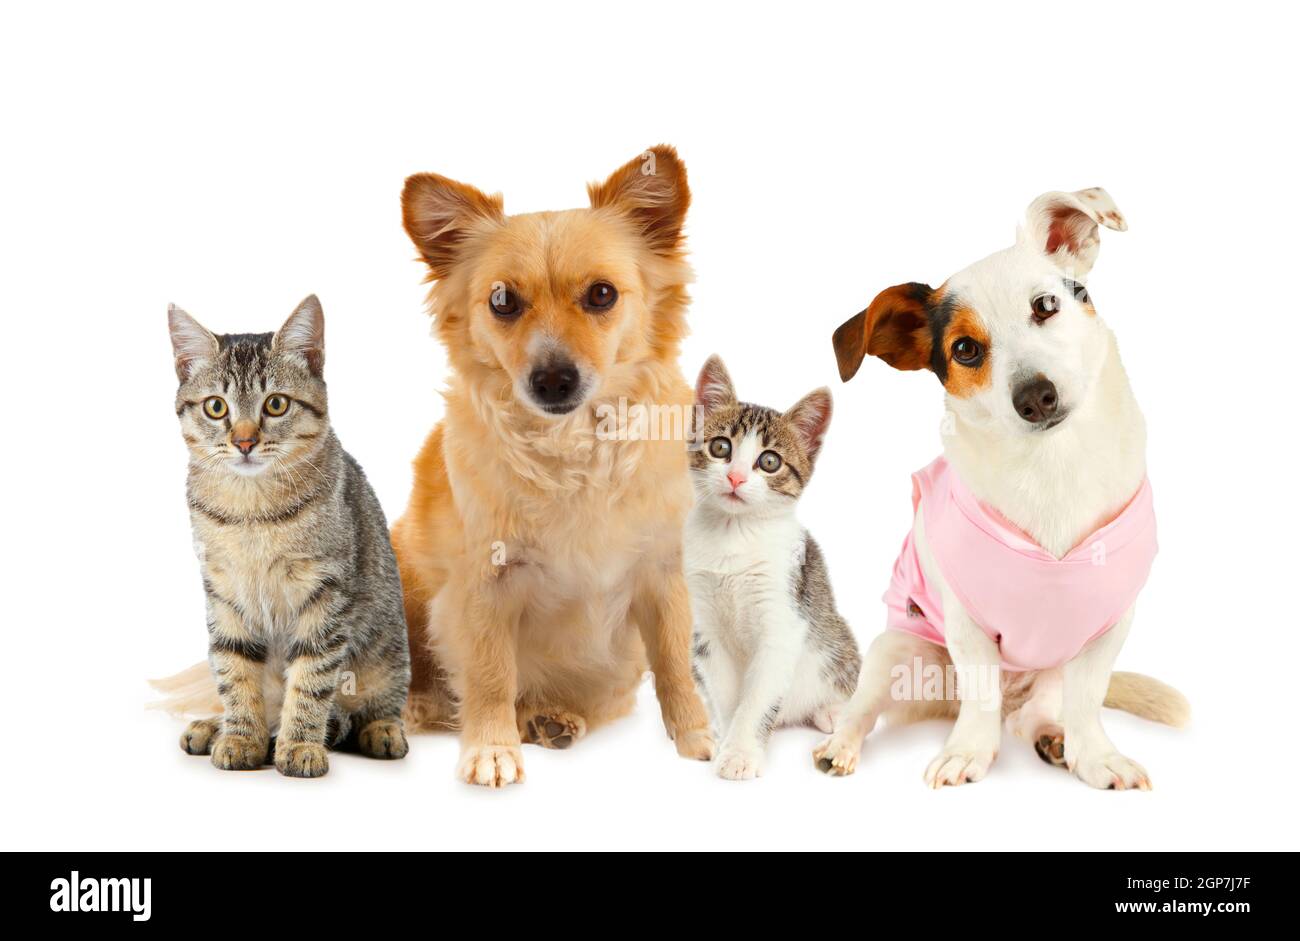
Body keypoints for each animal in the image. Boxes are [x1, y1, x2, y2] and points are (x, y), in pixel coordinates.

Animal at [159, 297, 408, 774]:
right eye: (216, 407)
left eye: (275, 404)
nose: (244, 442)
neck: (252, 510)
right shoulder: (223, 594)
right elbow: (235, 671)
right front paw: (241, 736)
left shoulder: (324, 594)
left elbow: (311, 678)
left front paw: (300, 745)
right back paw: (215, 727)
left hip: (387, 655)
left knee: (380, 704)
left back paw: (381, 731)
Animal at [392, 143, 717, 785]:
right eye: (502, 301)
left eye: (602, 295)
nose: (552, 377)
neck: (572, 447)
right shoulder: (485, 585)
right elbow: (491, 673)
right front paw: (490, 748)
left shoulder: (662, 574)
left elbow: (675, 663)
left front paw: (696, 735)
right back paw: (422, 706)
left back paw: (547, 718)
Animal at [681, 353, 863, 779]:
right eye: (720, 447)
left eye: (769, 461)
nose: (735, 477)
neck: (733, 534)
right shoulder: (706, 630)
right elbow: (728, 695)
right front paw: (729, 739)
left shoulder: (785, 620)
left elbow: (758, 698)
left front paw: (742, 752)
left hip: (835, 639)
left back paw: (832, 712)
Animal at [821, 187, 1190, 790]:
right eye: (966, 350)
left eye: (1046, 305)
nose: (1035, 396)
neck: (1051, 467)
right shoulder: (966, 625)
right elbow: (979, 697)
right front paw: (968, 752)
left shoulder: (1109, 625)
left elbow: (1087, 699)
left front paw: (1096, 756)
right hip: (896, 650)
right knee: (868, 706)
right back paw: (840, 745)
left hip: (1048, 671)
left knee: (1036, 711)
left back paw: (1052, 737)